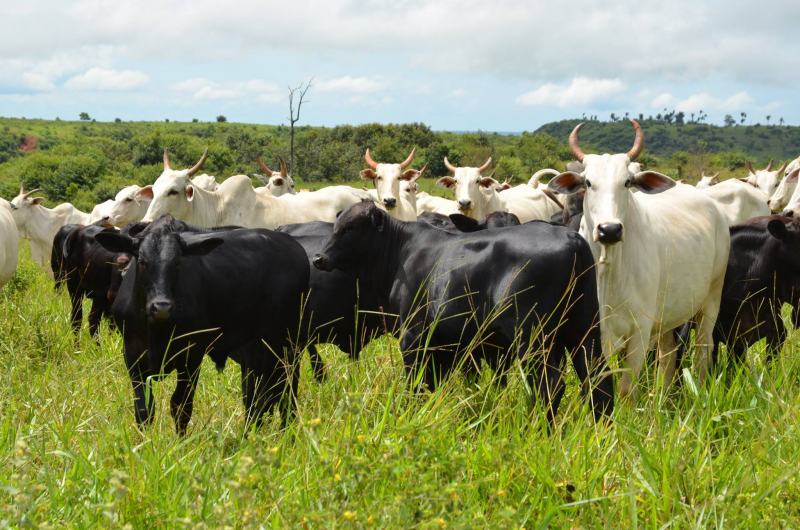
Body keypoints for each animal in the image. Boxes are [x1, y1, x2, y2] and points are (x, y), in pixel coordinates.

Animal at [96, 216, 310, 434]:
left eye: (178, 263)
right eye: (142, 261)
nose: (162, 306)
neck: (156, 331)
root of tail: (291, 245)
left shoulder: (191, 356)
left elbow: (181, 406)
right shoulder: (132, 354)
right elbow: (144, 408)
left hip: (287, 343)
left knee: (285, 388)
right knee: (263, 394)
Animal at [312, 201, 612, 420]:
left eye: (350, 228)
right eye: (336, 226)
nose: (318, 258)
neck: (400, 253)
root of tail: (570, 236)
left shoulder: (413, 337)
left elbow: (415, 385)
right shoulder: (446, 345)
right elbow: (432, 385)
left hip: (533, 336)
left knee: (550, 385)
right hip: (584, 330)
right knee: (598, 380)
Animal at [548, 119, 728, 398]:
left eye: (627, 182)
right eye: (588, 182)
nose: (609, 229)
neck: (609, 272)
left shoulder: (639, 331)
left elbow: (625, 390)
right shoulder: (591, 333)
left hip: (711, 299)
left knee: (702, 350)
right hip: (667, 316)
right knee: (668, 355)